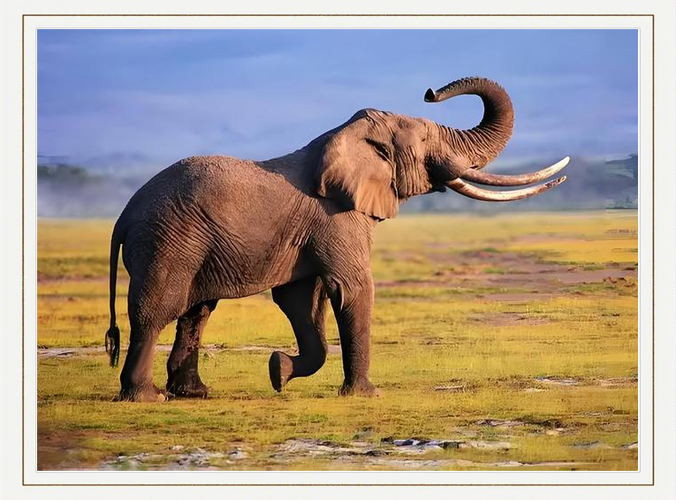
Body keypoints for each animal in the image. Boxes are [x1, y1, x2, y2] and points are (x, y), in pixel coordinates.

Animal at [104, 76, 569, 402]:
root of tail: (123, 216)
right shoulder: (337, 218)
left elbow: (299, 301)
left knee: (196, 311)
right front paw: (365, 394)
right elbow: (352, 288)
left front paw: (278, 371)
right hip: (168, 240)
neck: (344, 136)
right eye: (425, 139)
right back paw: (146, 397)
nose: (431, 91)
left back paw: (195, 393)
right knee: (158, 309)